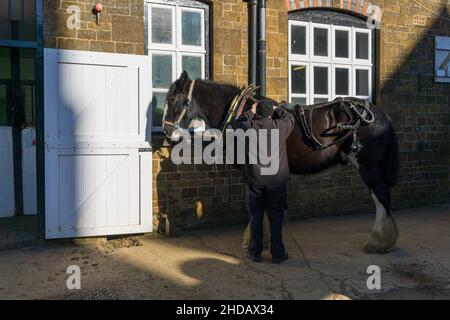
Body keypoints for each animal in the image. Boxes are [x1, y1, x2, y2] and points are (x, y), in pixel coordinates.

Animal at [162, 71, 400, 254]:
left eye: (175, 100)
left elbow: (257, 205)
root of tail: (378, 113)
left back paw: (379, 242)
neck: (239, 113)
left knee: (381, 197)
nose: (166, 131)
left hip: (368, 166)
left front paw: (254, 239)